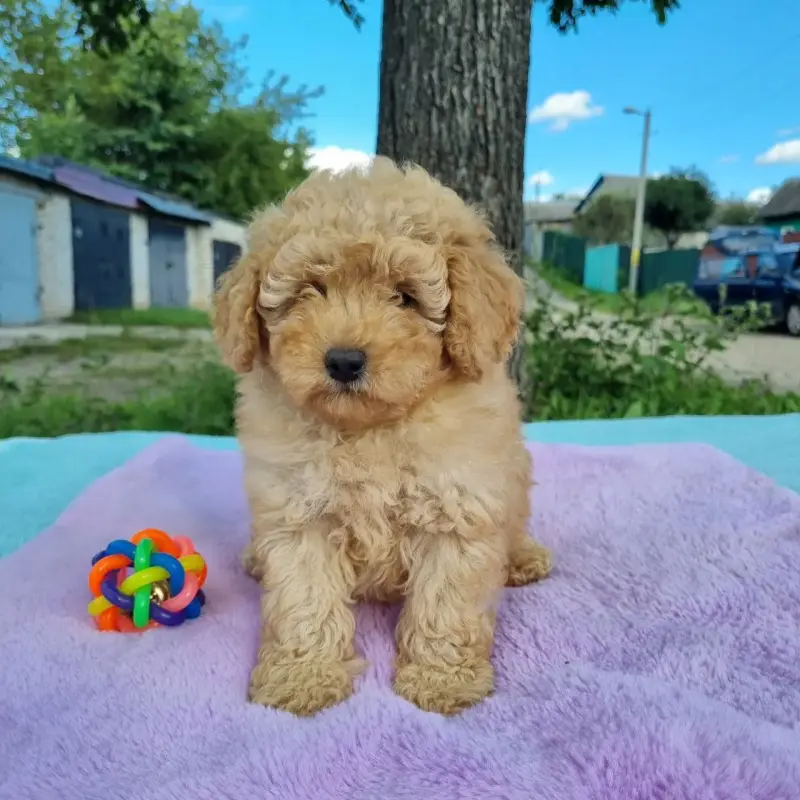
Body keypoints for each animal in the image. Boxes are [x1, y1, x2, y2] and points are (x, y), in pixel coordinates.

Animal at [212, 158, 552, 720]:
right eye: (309, 290)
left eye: (406, 297)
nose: (344, 361)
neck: (368, 430)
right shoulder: (299, 514)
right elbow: (304, 601)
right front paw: (301, 678)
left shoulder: (457, 510)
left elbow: (446, 604)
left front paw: (442, 679)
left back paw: (522, 558)